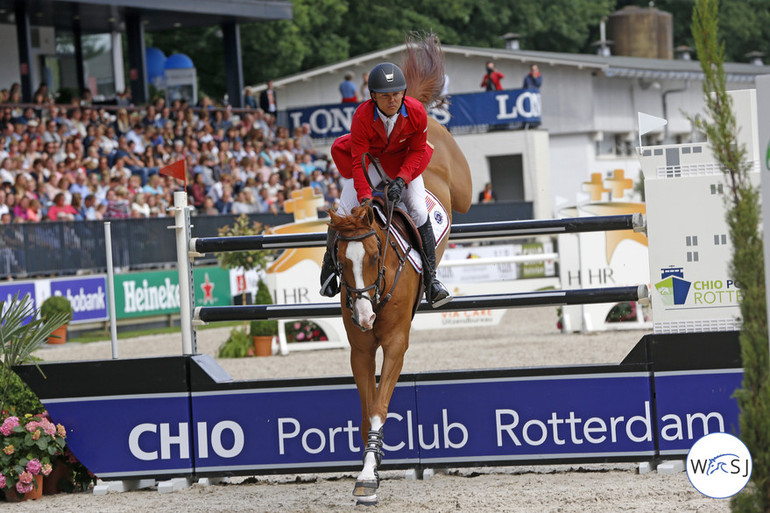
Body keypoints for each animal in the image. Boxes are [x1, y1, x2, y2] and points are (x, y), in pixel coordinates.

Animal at [324, 33, 468, 504]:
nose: (364, 315)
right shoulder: (361, 348)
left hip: (445, 170)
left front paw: (369, 477)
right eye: (339, 260)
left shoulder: (395, 343)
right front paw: (369, 468)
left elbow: (379, 408)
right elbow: (367, 408)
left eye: (375, 256)